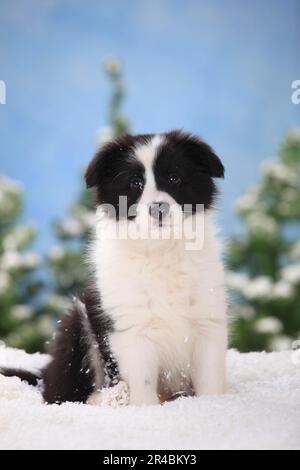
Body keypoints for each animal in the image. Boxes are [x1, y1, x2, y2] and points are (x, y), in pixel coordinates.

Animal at [0, 130, 227, 406]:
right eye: (135, 184)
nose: (158, 208)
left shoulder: (208, 323)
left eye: (174, 177)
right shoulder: (130, 330)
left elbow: (210, 380)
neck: (160, 248)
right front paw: (145, 408)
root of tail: (44, 374)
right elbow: (143, 383)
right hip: (76, 326)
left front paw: (214, 403)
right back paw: (107, 397)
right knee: (61, 394)